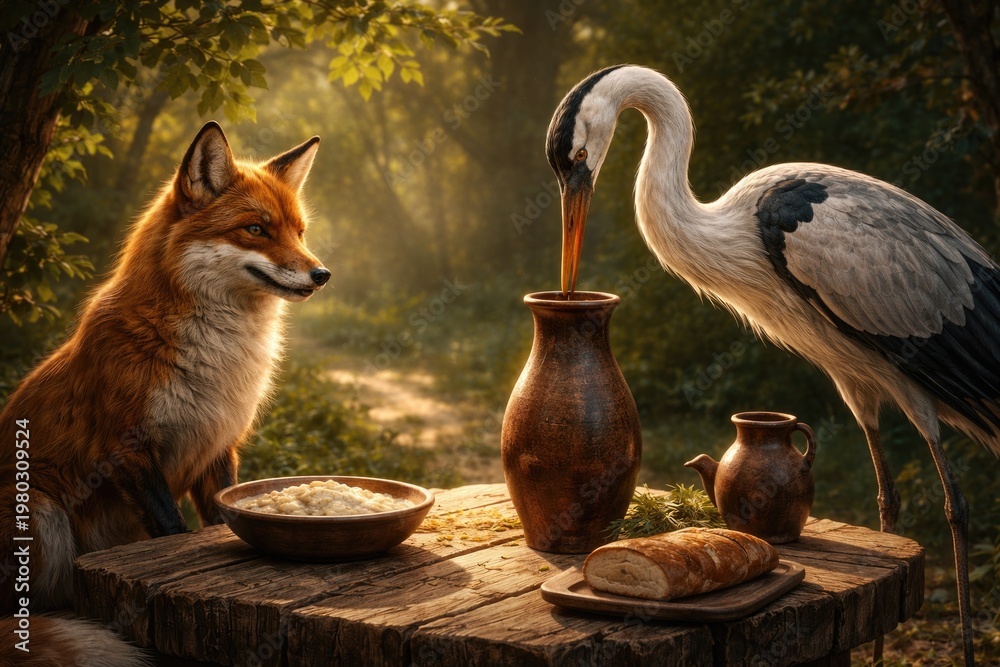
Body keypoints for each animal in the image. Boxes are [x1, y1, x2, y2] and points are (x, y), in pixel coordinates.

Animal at [0, 122, 328, 666]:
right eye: (255, 230)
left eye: (298, 232)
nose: (322, 275)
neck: (215, 360)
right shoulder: (127, 447)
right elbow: (173, 530)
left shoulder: (218, 445)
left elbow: (218, 517)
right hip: (40, 511)